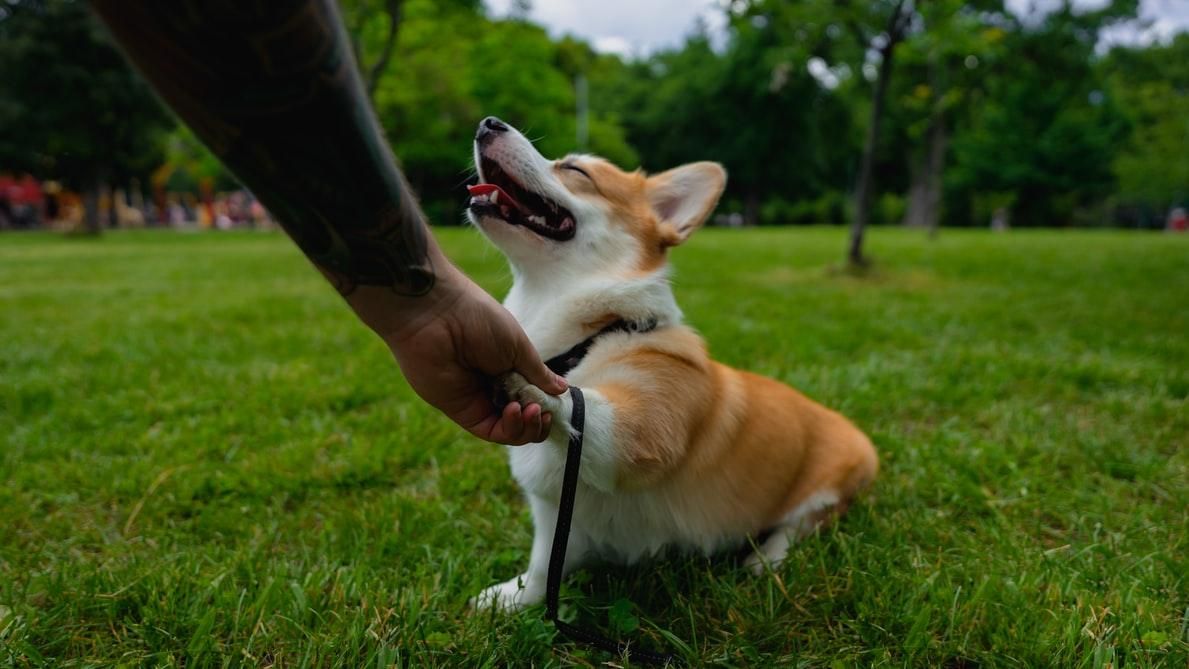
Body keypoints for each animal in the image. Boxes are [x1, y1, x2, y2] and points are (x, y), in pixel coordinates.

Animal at [468, 116, 879, 613]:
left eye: (576, 170)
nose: (488, 123)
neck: (592, 334)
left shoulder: (640, 436)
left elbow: (580, 403)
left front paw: (531, 385)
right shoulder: (556, 517)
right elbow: (543, 568)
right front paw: (509, 599)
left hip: (829, 489)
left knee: (799, 527)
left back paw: (763, 560)